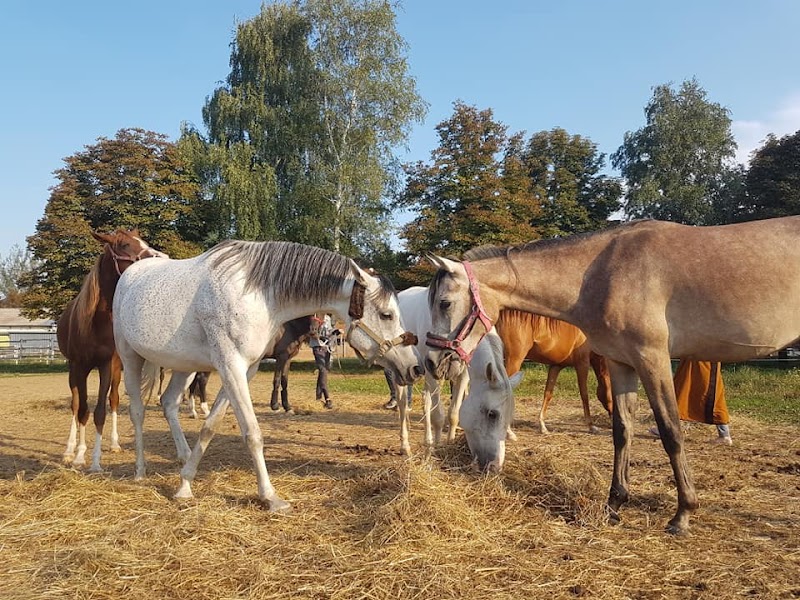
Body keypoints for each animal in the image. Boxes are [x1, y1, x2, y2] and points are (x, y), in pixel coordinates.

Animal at [57, 229, 166, 472]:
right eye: (124, 245)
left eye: (142, 240)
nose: (160, 257)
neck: (94, 322)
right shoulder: (79, 366)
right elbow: (82, 409)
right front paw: (79, 455)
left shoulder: (106, 364)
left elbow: (100, 411)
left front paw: (95, 461)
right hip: (72, 371)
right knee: (75, 405)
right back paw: (69, 449)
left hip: (117, 368)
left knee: (113, 399)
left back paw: (114, 443)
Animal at [112, 240, 422, 511]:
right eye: (386, 315)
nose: (414, 368)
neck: (259, 296)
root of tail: (130, 274)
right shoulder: (231, 366)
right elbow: (253, 433)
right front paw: (270, 497)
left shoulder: (244, 370)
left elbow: (210, 426)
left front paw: (185, 484)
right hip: (130, 357)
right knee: (138, 412)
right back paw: (140, 470)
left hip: (183, 366)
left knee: (168, 403)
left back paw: (183, 456)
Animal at [425, 217, 800, 535]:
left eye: (444, 303)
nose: (433, 362)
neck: (602, 273)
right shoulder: (622, 363)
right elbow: (621, 430)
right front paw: (614, 503)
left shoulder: (653, 359)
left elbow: (671, 431)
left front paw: (683, 513)